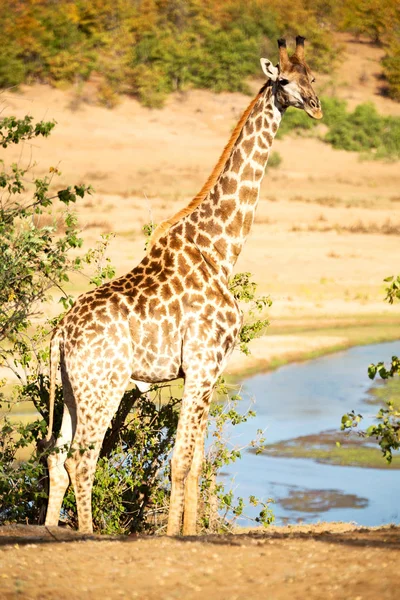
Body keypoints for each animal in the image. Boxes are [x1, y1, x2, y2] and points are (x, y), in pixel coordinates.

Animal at [44, 37, 322, 536]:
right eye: (286, 80)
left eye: (314, 76)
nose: (315, 106)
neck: (221, 250)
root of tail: (59, 332)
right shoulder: (202, 363)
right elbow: (180, 460)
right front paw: (176, 534)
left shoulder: (210, 370)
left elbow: (193, 463)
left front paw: (190, 532)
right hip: (104, 384)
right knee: (82, 459)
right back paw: (86, 534)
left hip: (75, 388)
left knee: (57, 457)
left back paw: (53, 530)